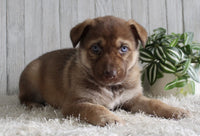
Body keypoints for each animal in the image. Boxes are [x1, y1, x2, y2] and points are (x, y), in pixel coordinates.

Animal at [18, 15, 189, 126]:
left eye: (123, 48)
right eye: (95, 48)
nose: (110, 74)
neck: (112, 87)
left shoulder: (133, 99)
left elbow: (155, 102)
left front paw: (175, 110)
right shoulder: (76, 103)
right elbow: (95, 108)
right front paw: (110, 118)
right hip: (31, 76)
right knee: (23, 98)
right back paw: (34, 105)